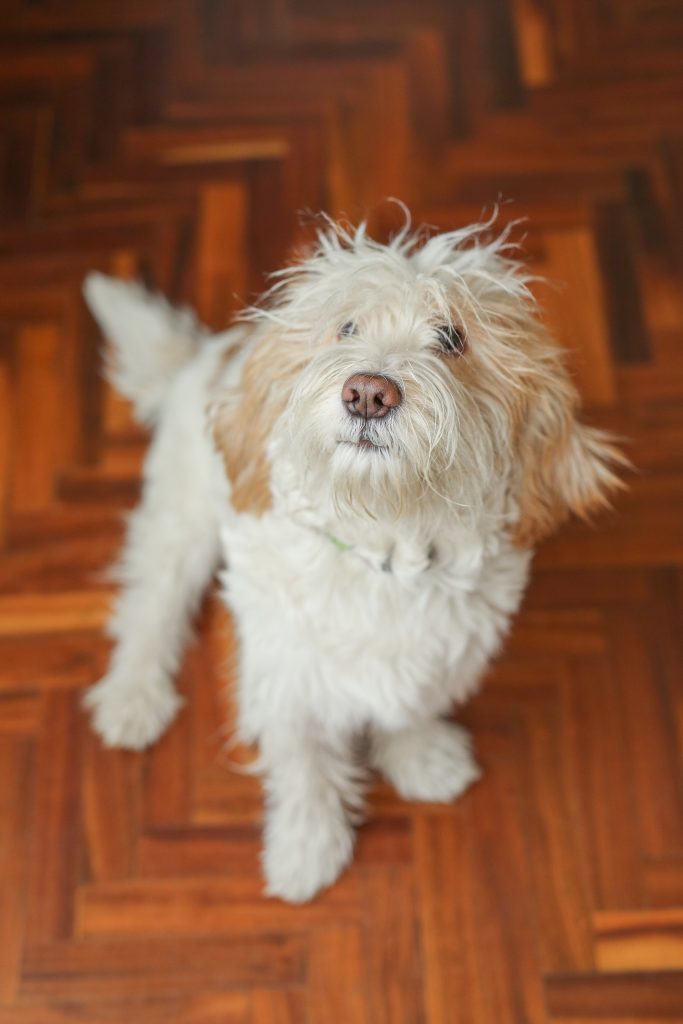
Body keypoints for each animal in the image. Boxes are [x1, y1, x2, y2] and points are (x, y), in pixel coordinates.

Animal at [81, 211, 626, 901]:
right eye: (346, 328)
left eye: (453, 337)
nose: (369, 392)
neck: (384, 546)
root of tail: (208, 355)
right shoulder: (286, 680)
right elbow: (304, 767)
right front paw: (307, 848)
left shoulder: (443, 655)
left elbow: (410, 707)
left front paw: (421, 759)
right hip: (181, 518)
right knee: (150, 602)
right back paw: (133, 697)